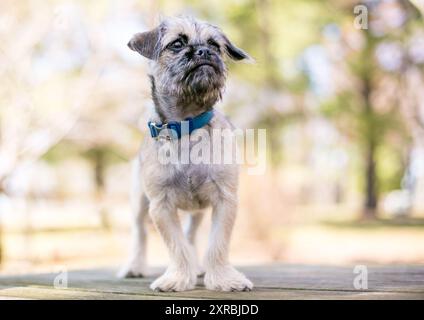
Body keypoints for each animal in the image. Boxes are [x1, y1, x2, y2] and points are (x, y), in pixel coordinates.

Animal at [117, 15, 253, 292]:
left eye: (215, 45)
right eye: (177, 44)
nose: (204, 51)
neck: (188, 125)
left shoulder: (224, 200)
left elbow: (217, 244)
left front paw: (223, 278)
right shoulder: (160, 206)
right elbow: (176, 246)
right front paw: (178, 277)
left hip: (198, 210)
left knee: (191, 234)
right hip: (139, 202)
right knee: (139, 233)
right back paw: (135, 266)